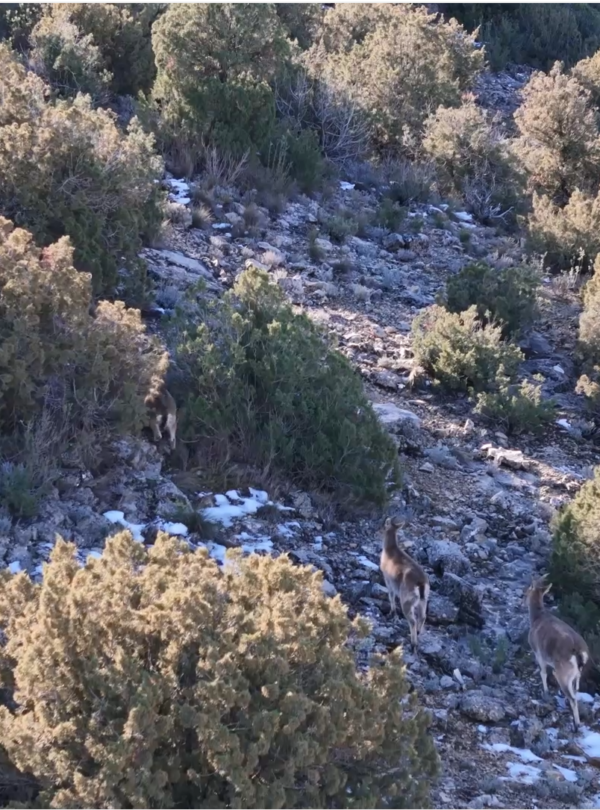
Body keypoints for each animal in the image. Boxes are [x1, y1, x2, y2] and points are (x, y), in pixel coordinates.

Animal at [380, 514, 430, 650]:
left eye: (385, 525)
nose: (379, 530)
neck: (390, 550)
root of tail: (421, 584)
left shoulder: (388, 579)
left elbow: (391, 596)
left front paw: (392, 613)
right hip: (423, 600)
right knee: (422, 616)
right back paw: (418, 633)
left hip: (407, 600)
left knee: (412, 620)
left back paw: (413, 643)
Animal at [526, 575, 590, 730]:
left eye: (529, 587)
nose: (522, 595)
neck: (536, 618)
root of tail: (579, 653)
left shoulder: (538, 652)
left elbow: (543, 672)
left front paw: (545, 692)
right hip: (576, 674)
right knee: (576, 690)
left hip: (562, 673)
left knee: (572, 697)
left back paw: (576, 724)